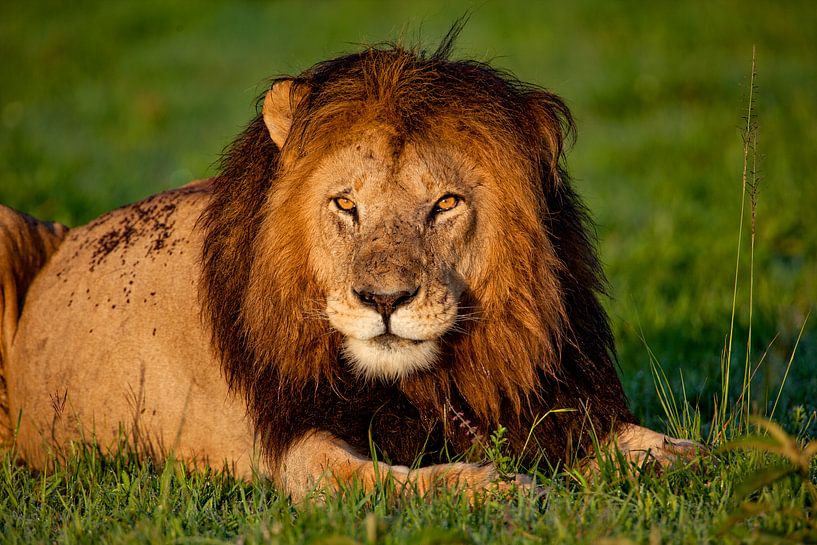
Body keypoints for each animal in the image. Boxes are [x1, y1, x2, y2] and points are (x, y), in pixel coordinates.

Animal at [0, 37, 697, 501]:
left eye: (445, 204)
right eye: (345, 204)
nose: (383, 301)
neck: (430, 382)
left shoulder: (549, 398)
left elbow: (635, 440)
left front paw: (688, 458)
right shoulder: (295, 444)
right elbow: (380, 483)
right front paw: (497, 489)